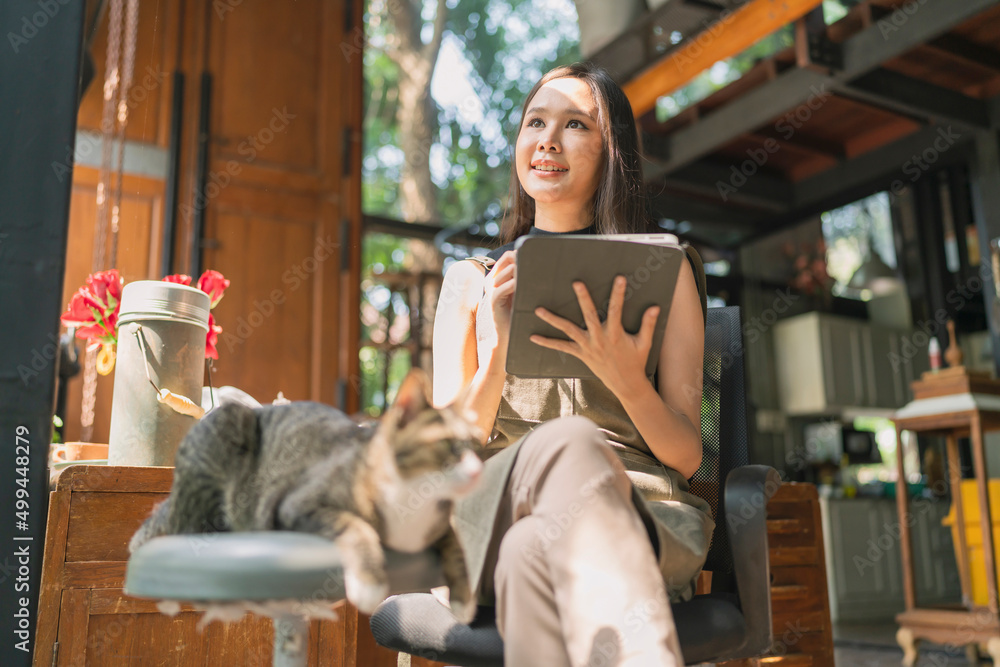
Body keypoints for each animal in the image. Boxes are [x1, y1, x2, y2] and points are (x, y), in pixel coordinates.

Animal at [127, 370, 486, 620]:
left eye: (476, 445)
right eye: (450, 445)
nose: (478, 469)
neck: (411, 504)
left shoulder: (441, 525)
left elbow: (456, 547)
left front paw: (463, 600)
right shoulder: (297, 504)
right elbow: (357, 527)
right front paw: (369, 584)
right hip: (227, 427)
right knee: (187, 527)